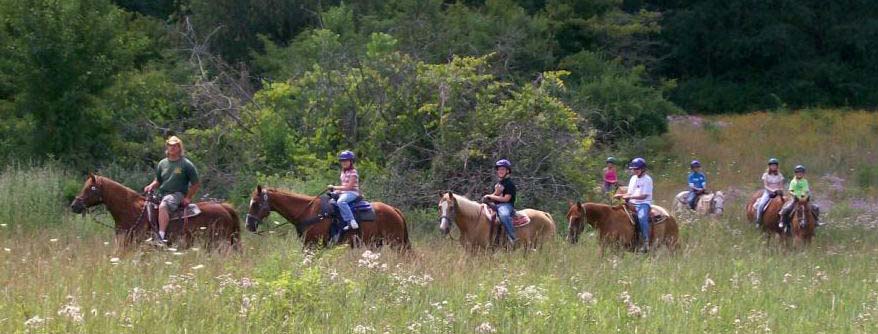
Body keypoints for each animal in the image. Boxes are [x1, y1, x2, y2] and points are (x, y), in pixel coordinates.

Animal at [246, 185, 414, 250]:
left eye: (255, 203)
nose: (248, 225)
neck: (308, 211)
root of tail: (394, 210)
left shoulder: (312, 245)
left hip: (397, 244)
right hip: (376, 244)